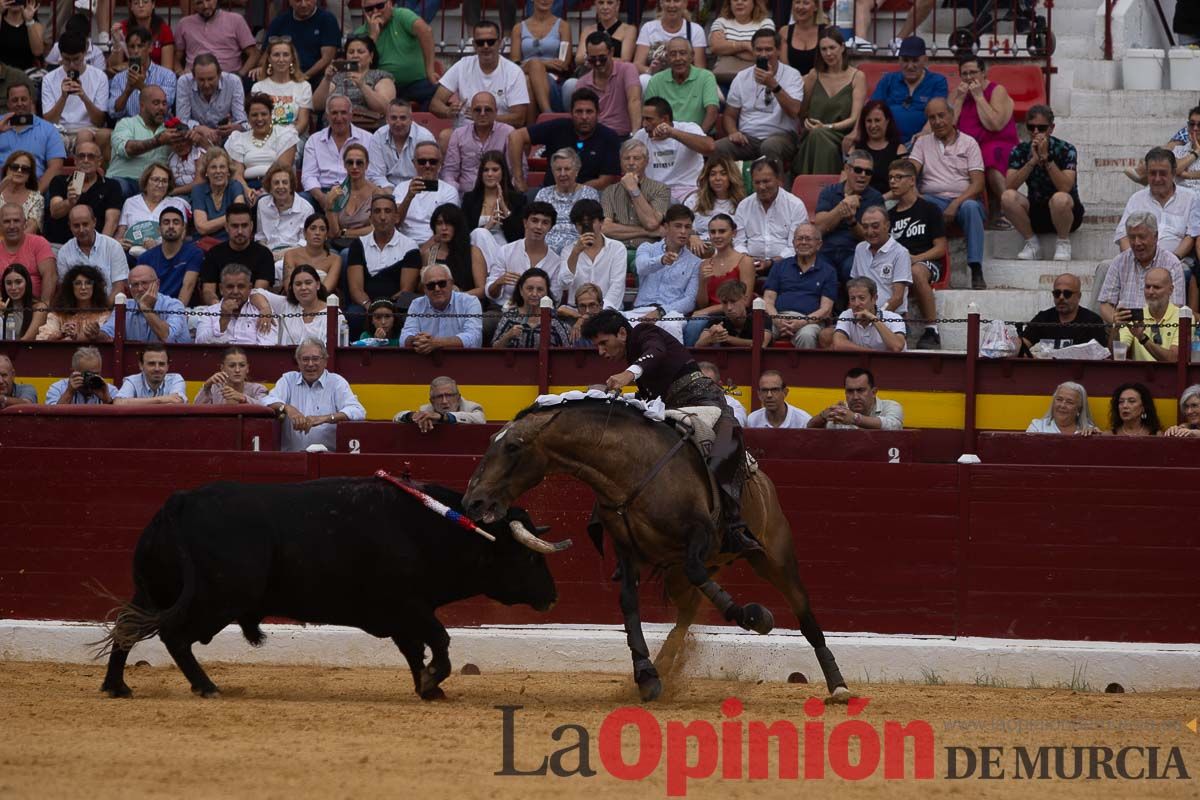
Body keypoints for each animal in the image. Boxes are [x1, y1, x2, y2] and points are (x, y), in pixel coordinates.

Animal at [99, 479, 571, 695]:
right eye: (531, 557)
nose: (552, 598)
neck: (433, 530)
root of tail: (177, 503)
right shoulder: (409, 606)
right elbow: (439, 640)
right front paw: (433, 681)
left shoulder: (401, 616)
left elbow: (415, 650)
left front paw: (428, 688)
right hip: (216, 599)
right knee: (174, 635)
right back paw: (206, 686)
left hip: (157, 591)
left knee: (126, 626)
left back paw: (117, 687)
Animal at [463, 398, 849, 700]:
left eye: (513, 446)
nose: (473, 501)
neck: (630, 471)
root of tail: (763, 480)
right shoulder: (626, 551)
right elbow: (628, 604)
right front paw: (646, 674)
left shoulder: (701, 536)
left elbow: (700, 575)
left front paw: (754, 615)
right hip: (679, 576)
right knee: (687, 611)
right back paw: (663, 665)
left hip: (773, 558)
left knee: (804, 614)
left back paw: (838, 685)